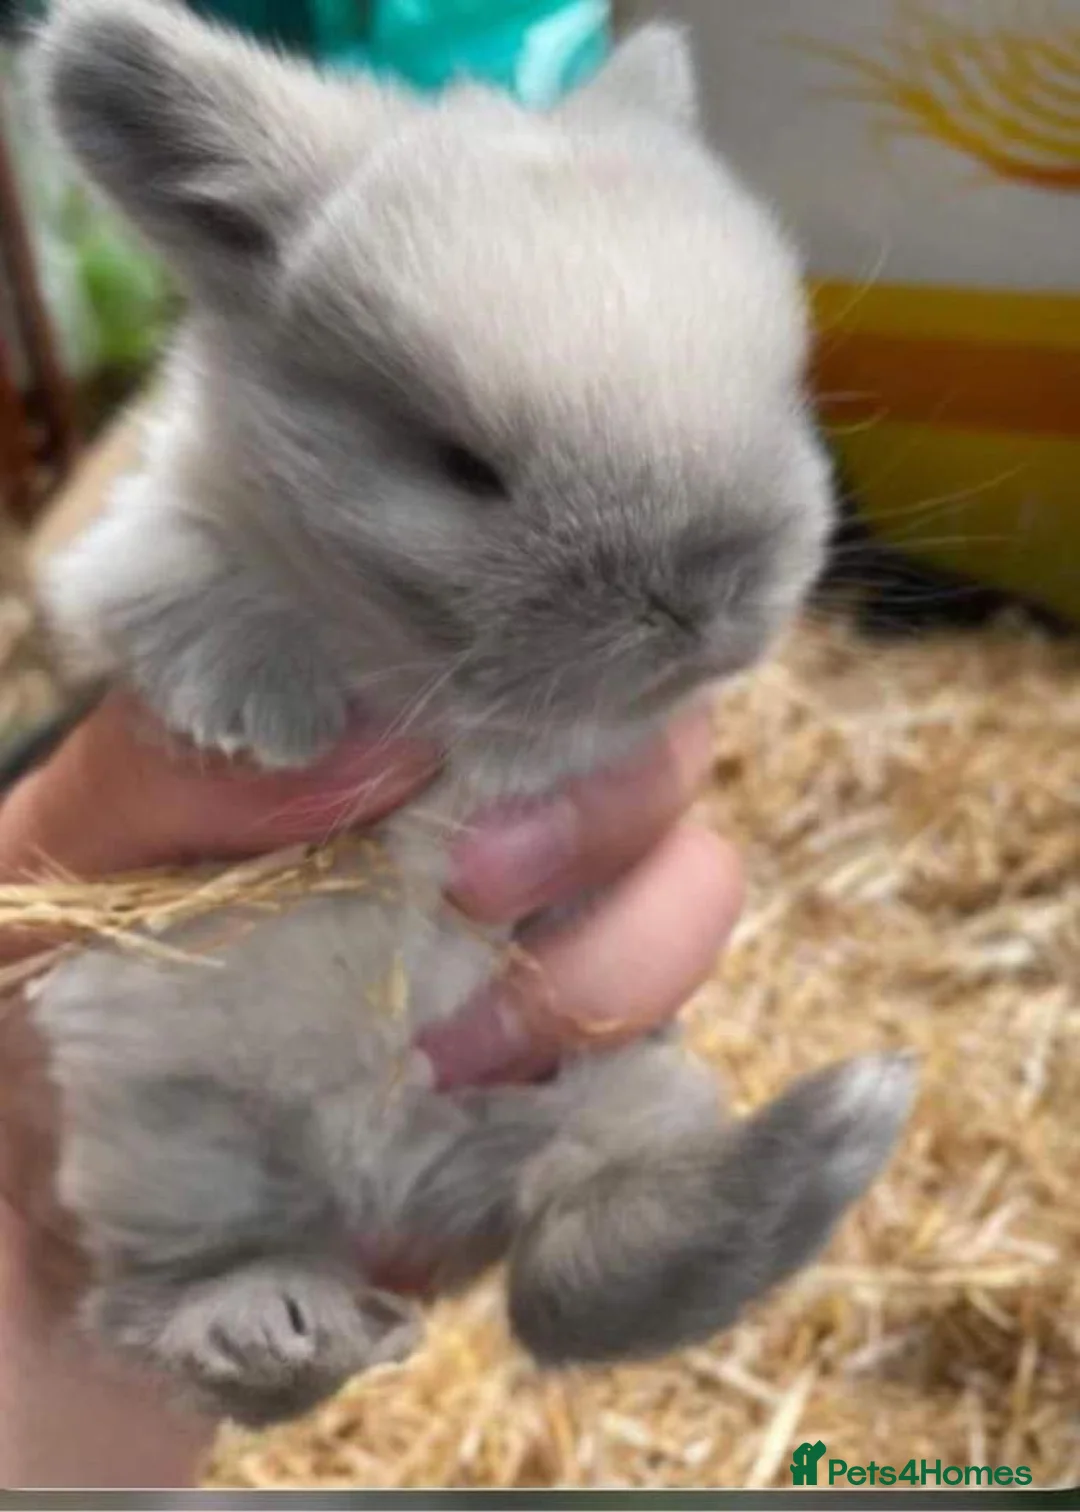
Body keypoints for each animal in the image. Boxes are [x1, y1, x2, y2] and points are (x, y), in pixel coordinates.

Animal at [29, 0, 915, 1428]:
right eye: (461, 465)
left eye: (786, 396)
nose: (708, 602)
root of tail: (398, 1182)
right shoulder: (121, 559)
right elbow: (184, 592)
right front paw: (268, 716)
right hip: (171, 1131)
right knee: (176, 1306)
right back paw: (269, 1328)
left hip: (606, 1089)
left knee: (574, 1267)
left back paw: (825, 1137)